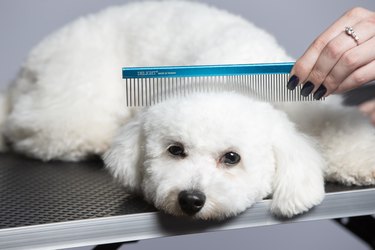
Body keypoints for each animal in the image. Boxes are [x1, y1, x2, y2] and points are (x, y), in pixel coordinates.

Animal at [2, 0, 375, 219]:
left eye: (231, 158)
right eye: (175, 150)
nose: (191, 199)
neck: (228, 70)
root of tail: (25, 68)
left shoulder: (301, 102)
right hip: (76, 86)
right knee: (41, 130)